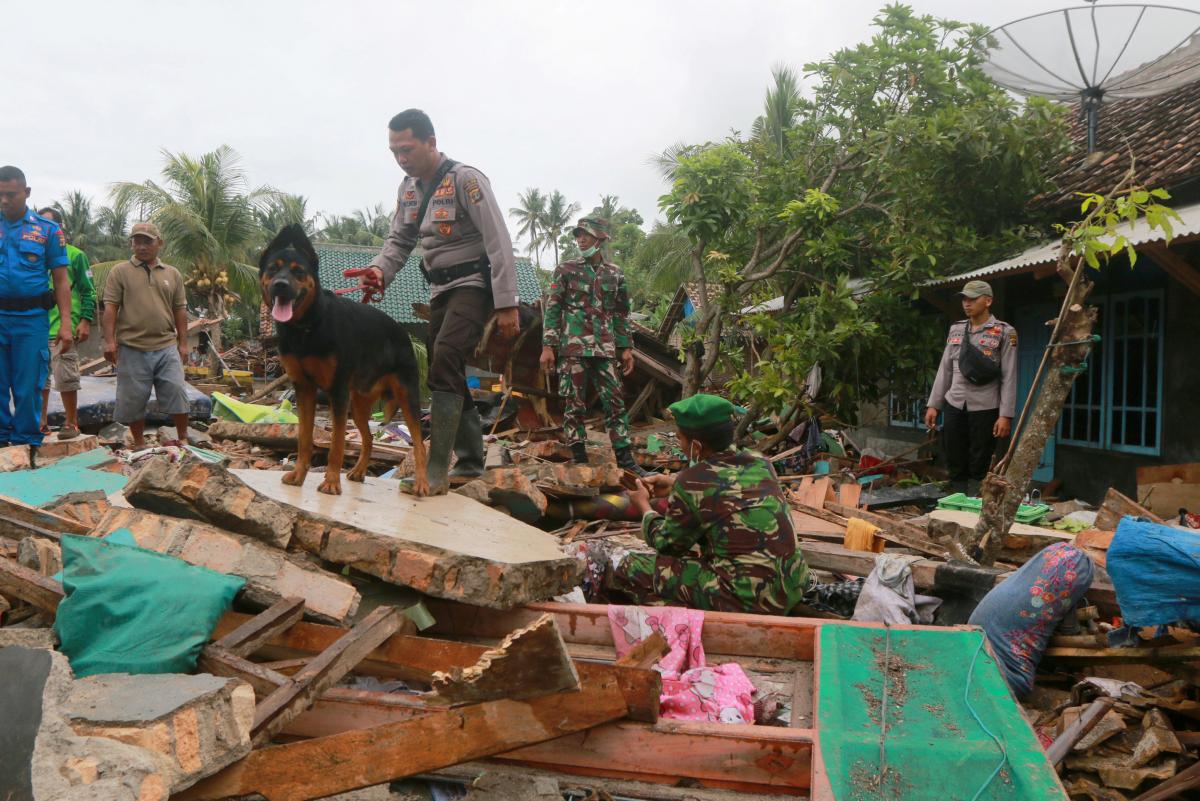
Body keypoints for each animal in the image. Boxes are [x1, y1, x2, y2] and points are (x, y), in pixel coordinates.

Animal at [259, 225, 432, 496]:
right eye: (273, 269)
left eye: (298, 271)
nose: (280, 285)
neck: (307, 326)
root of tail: (403, 333)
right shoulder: (304, 389)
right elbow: (304, 439)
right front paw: (299, 475)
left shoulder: (337, 392)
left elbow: (337, 443)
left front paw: (331, 481)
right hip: (359, 405)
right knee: (369, 437)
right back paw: (360, 471)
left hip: (407, 397)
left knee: (419, 444)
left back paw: (422, 483)